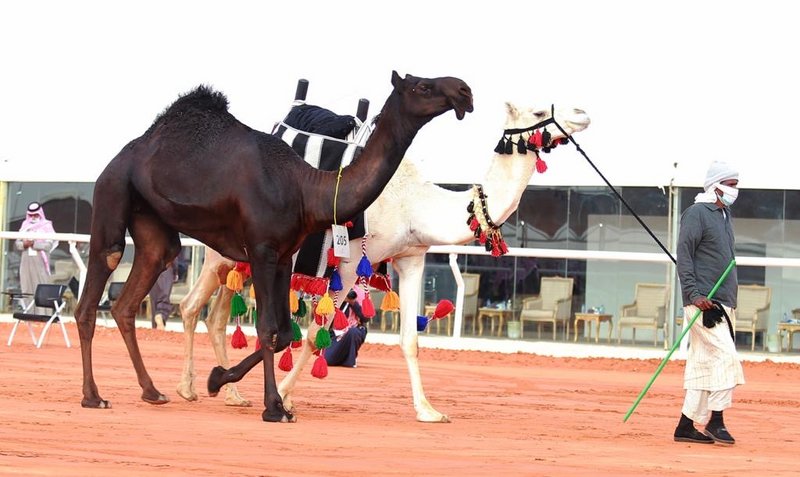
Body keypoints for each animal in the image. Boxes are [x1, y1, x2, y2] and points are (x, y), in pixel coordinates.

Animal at [72, 70, 472, 420]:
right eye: (422, 85)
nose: (464, 91)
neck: (308, 189)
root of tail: (125, 153)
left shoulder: (283, 256)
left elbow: (283, 332)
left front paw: (219, 380)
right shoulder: (262, 250)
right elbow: (267, 329)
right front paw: (273, 407)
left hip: (155, 228)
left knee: (131, 296)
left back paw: (153, 391)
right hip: (113, 191)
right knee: (97, 286)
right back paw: (94, 396)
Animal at [177, 102, 588, 418]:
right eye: (539, 110)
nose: (582, 113)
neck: (413, 203)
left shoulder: (411, 257)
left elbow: (410, 339)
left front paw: (428, 410)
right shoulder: (346, 263)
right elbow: (313, 336)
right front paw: (286, 397)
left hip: (245, 260)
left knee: (216, 316)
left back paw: (230, 393)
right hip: (223, 253)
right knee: (191, 305)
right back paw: (187, 388)